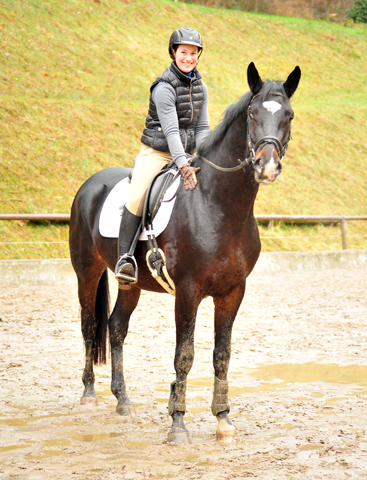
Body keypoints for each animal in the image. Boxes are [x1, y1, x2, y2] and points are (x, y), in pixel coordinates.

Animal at [69, 62, 302, 442]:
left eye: (289, 116)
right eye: (253, 114)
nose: (266, 166)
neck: (219, 204)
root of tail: (90, 185)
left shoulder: (233, 291)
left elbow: (222, 354)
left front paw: (223, 419)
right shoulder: (188, 291)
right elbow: (185, 355)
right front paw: (177, 424)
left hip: (130, 284)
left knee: (115, 327)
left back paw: (123, 400)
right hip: (86, 272)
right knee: (90, 326)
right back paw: (89, 394)